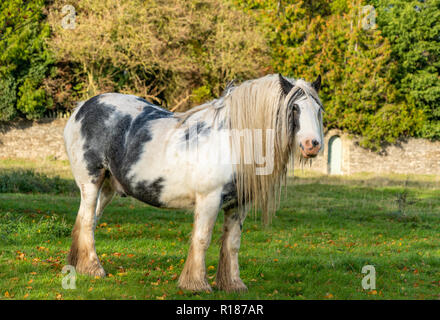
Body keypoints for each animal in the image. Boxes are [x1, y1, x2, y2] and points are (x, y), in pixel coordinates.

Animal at [62, 72, 324, 292]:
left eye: (319, 110)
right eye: (294, 108)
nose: (312, 144)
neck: (232, 141)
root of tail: (82, 108)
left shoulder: (238, 205)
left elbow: (232, 243)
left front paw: (233, 284)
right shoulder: (209, 200)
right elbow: (202, 239)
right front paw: (196, 284)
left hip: (107, 188)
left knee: (88, 222)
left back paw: (80, 267)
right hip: (91, 183)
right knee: (87, 222)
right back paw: (94, 269)